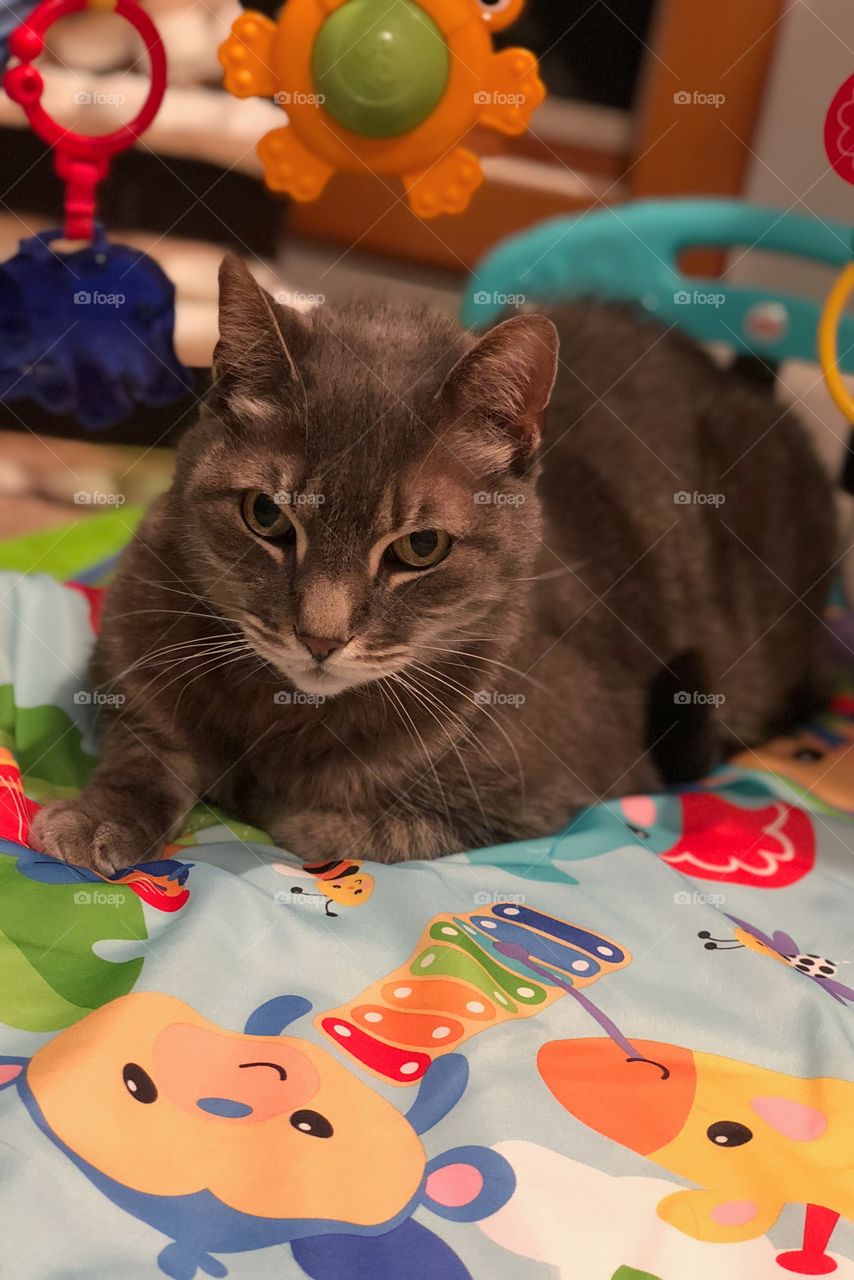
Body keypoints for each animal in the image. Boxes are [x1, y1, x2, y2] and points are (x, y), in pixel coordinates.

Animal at [31, 252, 834, 870]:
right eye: (265, 515)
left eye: (421, 547)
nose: (319, 637)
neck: (280, 711)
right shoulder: (131, 662)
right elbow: (147, 750)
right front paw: (98, 816)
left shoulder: (550, 787)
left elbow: (347, 821)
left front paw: (275, 798)